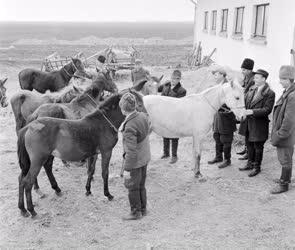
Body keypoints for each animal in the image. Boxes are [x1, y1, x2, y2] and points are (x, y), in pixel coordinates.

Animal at [17, 89, 145, 217]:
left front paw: (88, 190)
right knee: (28, 181)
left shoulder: (94, 153)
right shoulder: (106, 152)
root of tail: (29, 127)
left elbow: (91, 170)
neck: (103, 122)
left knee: (24, 178)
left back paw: (24, 208)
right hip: (38, 160)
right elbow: (105, 173)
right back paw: (32, 210)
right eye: (138, 104)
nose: (146, 118)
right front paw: (108, 194)